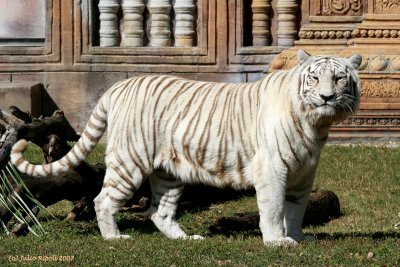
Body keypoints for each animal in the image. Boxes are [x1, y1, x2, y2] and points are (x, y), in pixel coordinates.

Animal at [10, 49, 360, 247]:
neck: (316, 125)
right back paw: (114, 238)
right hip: (129, 163)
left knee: (158, 212)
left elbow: (296, 210)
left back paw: (186, 239)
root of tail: (119, 85)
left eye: (339, 78)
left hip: (169, 174)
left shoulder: (303, 176)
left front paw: (298, 237)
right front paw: (277, 242)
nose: (327, 97)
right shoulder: (272, 170)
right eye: (314, 79)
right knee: (103, 200)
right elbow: (274, 209)